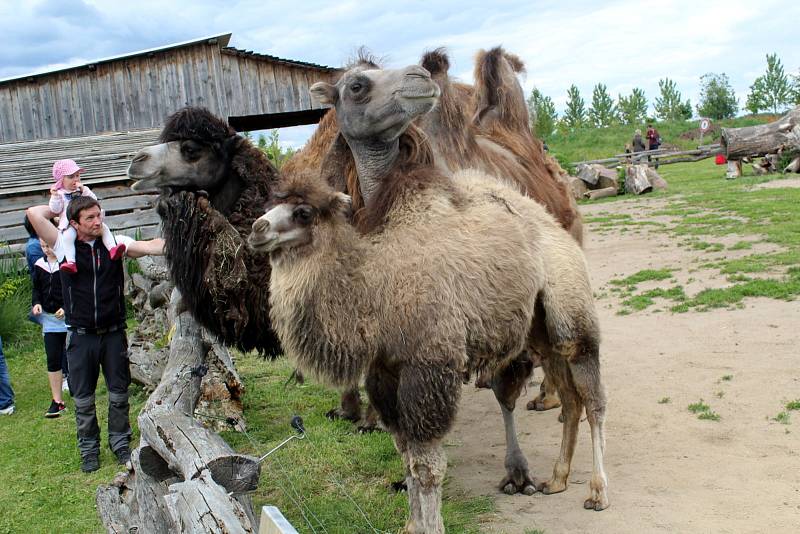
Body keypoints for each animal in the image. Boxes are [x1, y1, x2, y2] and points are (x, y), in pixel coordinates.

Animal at [248, 63, 608, 534]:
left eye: (304, 212)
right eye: (356, 83)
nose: (257, 229)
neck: (371, 280)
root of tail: (552, 219)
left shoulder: (429, 365)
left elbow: (427, 466)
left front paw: (430, 525)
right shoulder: (384, 372)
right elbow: (405, 457)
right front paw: (412, 524)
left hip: (570, 305)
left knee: (592, 393)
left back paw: (597, 492)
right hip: (536, 326)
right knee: (569, 395)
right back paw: (557, 479)